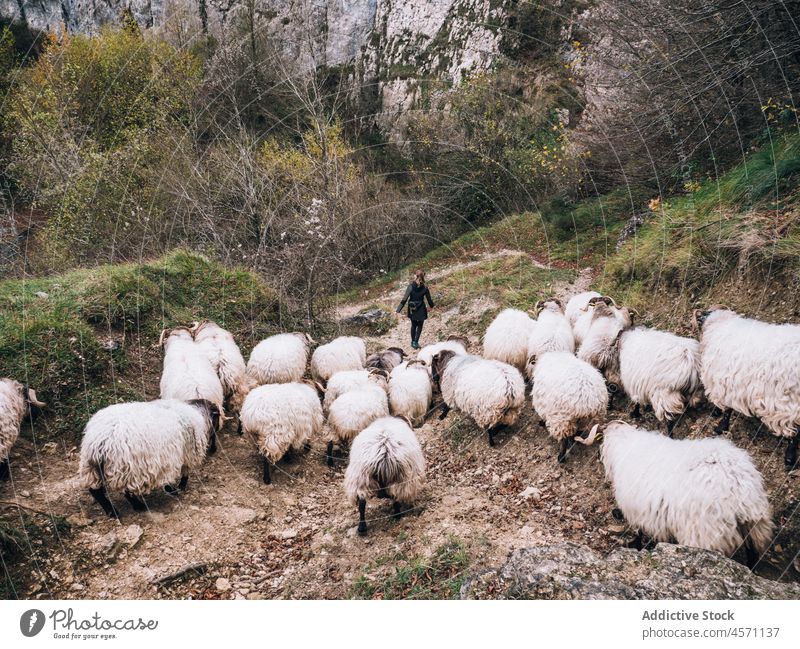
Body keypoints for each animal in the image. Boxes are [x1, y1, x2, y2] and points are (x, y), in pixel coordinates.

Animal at [79, 398, 220, 512]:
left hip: (92, 467)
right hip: (127, 467)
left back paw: (112, 512)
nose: (214, 448)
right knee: (125, 491)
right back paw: (138, 506)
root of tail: (100, 440)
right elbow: (184, 472)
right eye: (217, 417)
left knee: (95, 491)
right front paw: (177, 488)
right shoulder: (184, 453)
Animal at [580, 420, 772, 568]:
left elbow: (639, 531)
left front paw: (635, 546)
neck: (624, 445)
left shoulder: (637, 508)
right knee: (752, 558)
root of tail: (739, 491)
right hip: (755, 528)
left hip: (704, 535)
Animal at [692, 306, 800, 468]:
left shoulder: (721, 382)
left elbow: (726, 410)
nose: (696, 313)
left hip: (788, 402)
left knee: (794, 433)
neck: (718, 327)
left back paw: (790, 459)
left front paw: (720, 426)